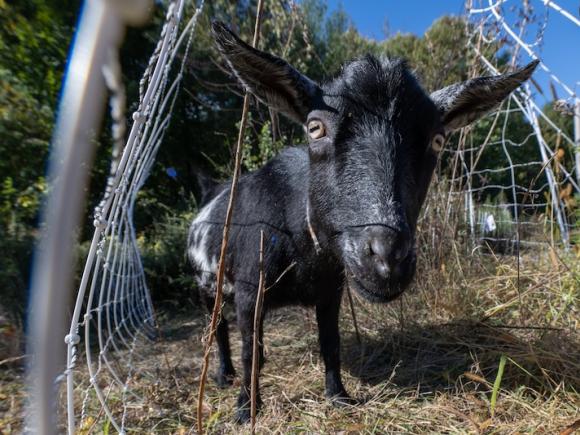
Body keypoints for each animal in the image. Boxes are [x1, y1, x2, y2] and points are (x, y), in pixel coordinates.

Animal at [188, 21, 536, 426]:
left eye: (438, 139)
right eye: (315, 128)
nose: (387, 257)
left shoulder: (331, 289)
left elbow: (331, 343)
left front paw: (339, 396)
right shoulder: (249, 289)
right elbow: (251, 352)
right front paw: (246, 410)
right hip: (206, 284)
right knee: (218, 329)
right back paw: (223, 374)